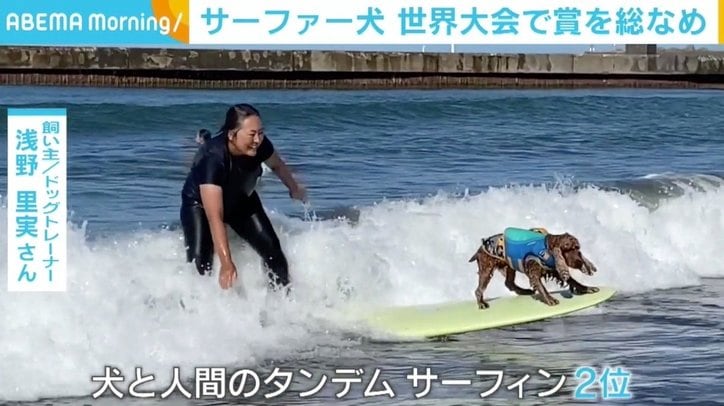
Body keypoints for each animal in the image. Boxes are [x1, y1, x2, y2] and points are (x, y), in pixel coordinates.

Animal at [470, 227, 600, 310]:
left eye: (577, 248)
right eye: (567, 249)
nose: (579, 262)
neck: (547, 248)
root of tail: (480, 247)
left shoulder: (553, 269)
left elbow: (573, 281)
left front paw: (586, 288)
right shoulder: (534, 272)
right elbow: (542, 287)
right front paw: (550, 299)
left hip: (510, 266)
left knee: (509, 283)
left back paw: (523, 291)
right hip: (487, 269)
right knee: (479, 289)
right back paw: (481, 303)